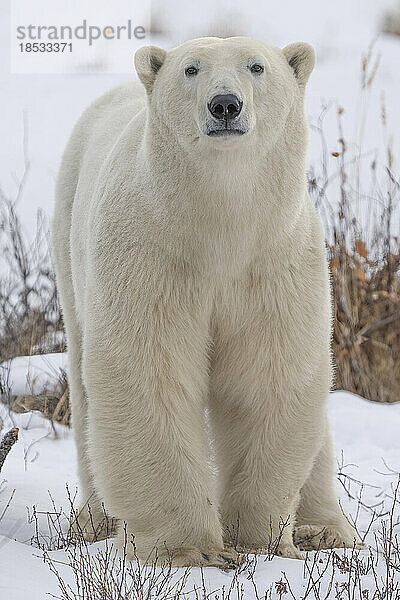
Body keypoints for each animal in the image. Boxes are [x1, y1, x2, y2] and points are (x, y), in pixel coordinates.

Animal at [51, 36, 360, 568]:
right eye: (191, 69)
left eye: (257, 66)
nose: (225, 105)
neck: (219, 228)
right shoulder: (151, 256)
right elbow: (150, 375)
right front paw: (188, 549)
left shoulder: (273, 263)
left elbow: (267, 378)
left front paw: (258, 539)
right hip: (71, 240)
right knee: (88, 400)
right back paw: (92, 523)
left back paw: (327, 530)